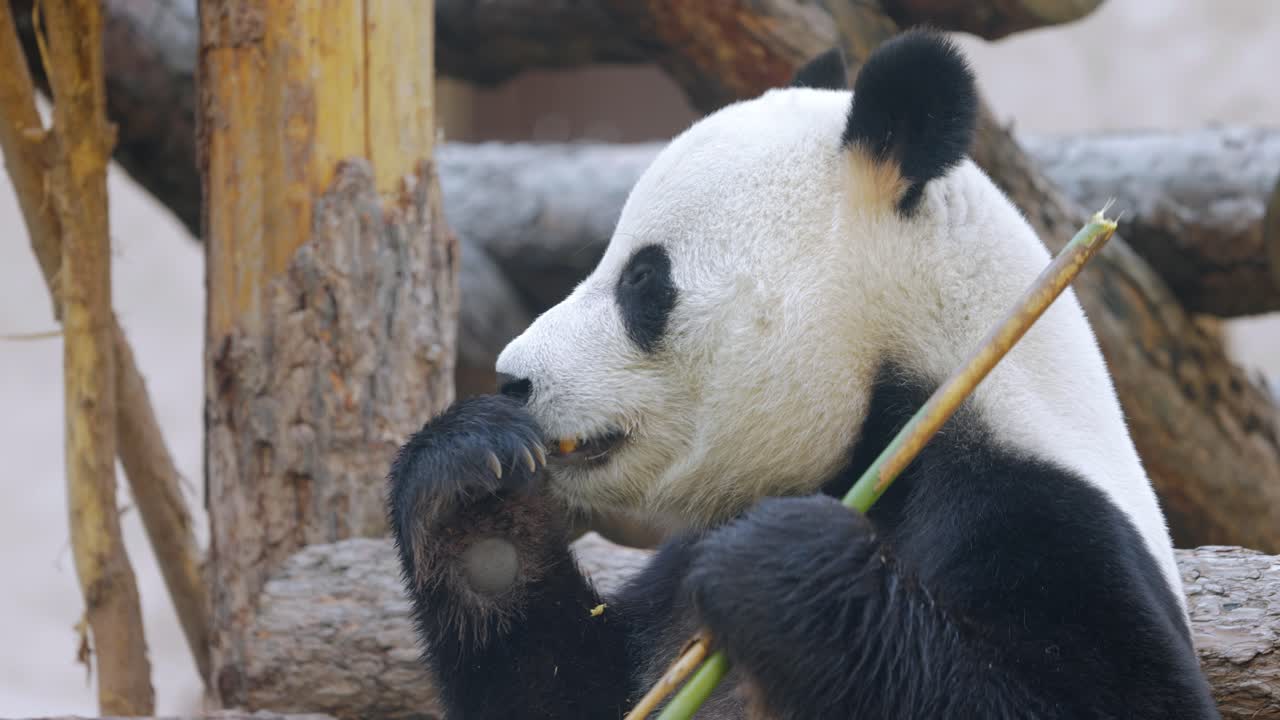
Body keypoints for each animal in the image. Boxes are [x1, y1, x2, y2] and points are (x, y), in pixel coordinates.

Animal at [388, 30, 1217, 719]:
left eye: (643, 280)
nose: (514, 379)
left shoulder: (1047, 519)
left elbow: (1104, 698)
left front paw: (782, 561)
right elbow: (571, 690)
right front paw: (470, 476)